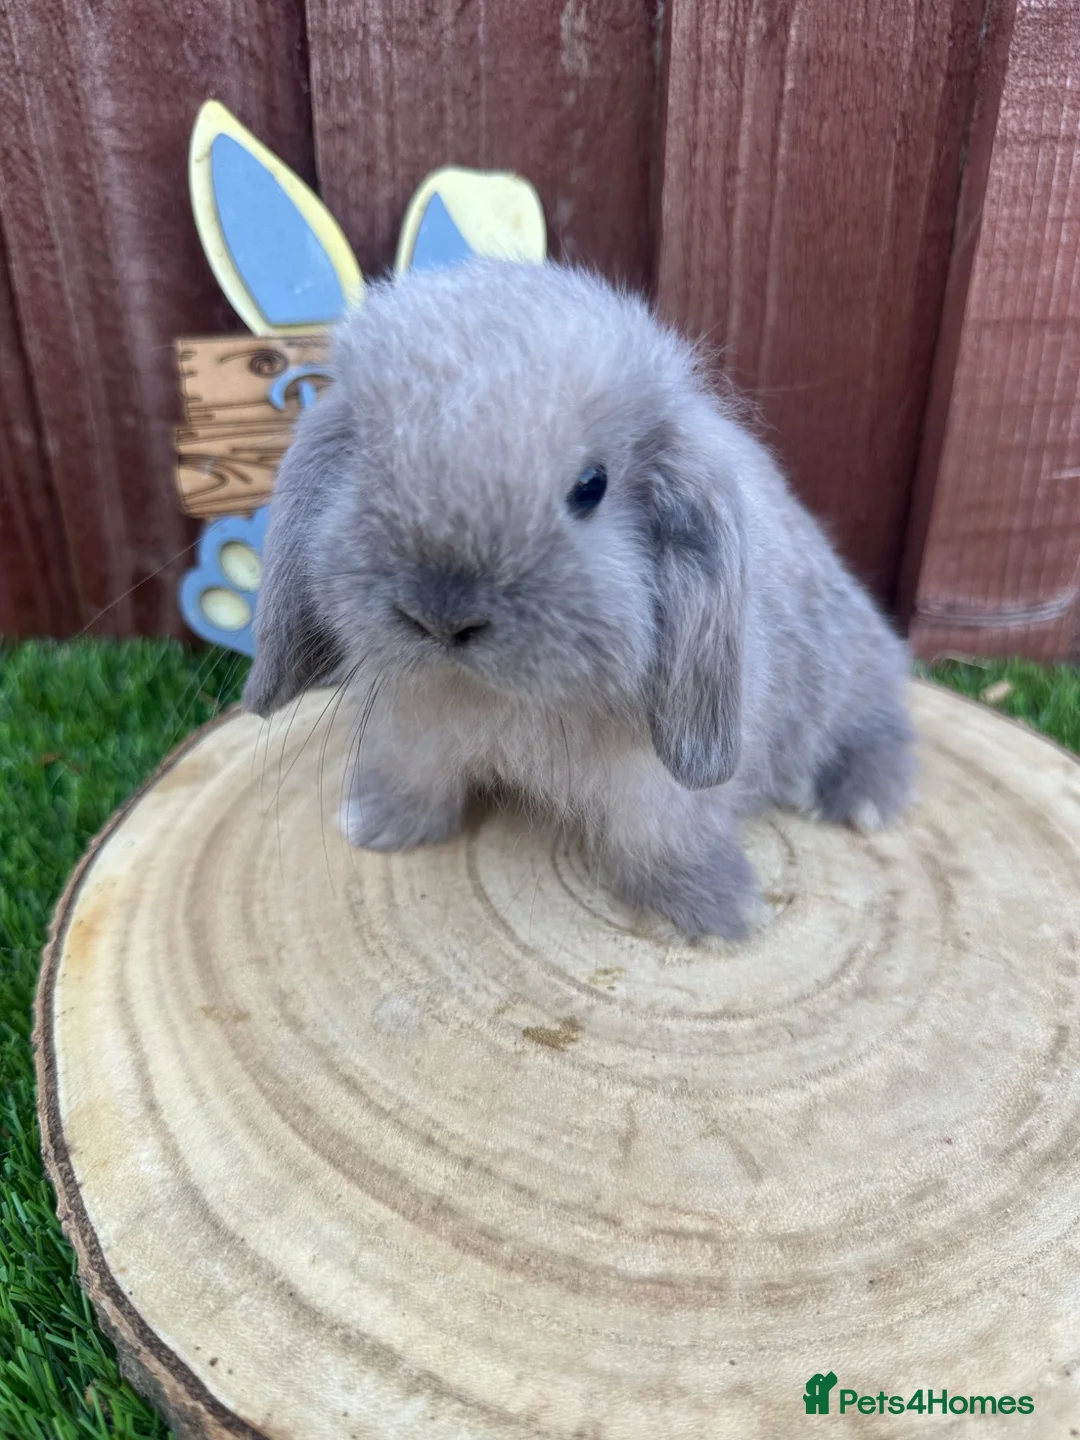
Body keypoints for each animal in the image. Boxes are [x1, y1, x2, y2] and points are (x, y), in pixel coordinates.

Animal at [242, 258, 915, 940]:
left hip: (855, 673)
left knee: (879, 727)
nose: (441, 616)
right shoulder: (411, 725)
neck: (500, 698)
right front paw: (375, 824)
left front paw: (715, 914)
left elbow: (662, 840)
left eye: (592, 487)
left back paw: (860, 801)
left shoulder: (660, 785)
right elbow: (414, 777)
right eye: (366, 464)